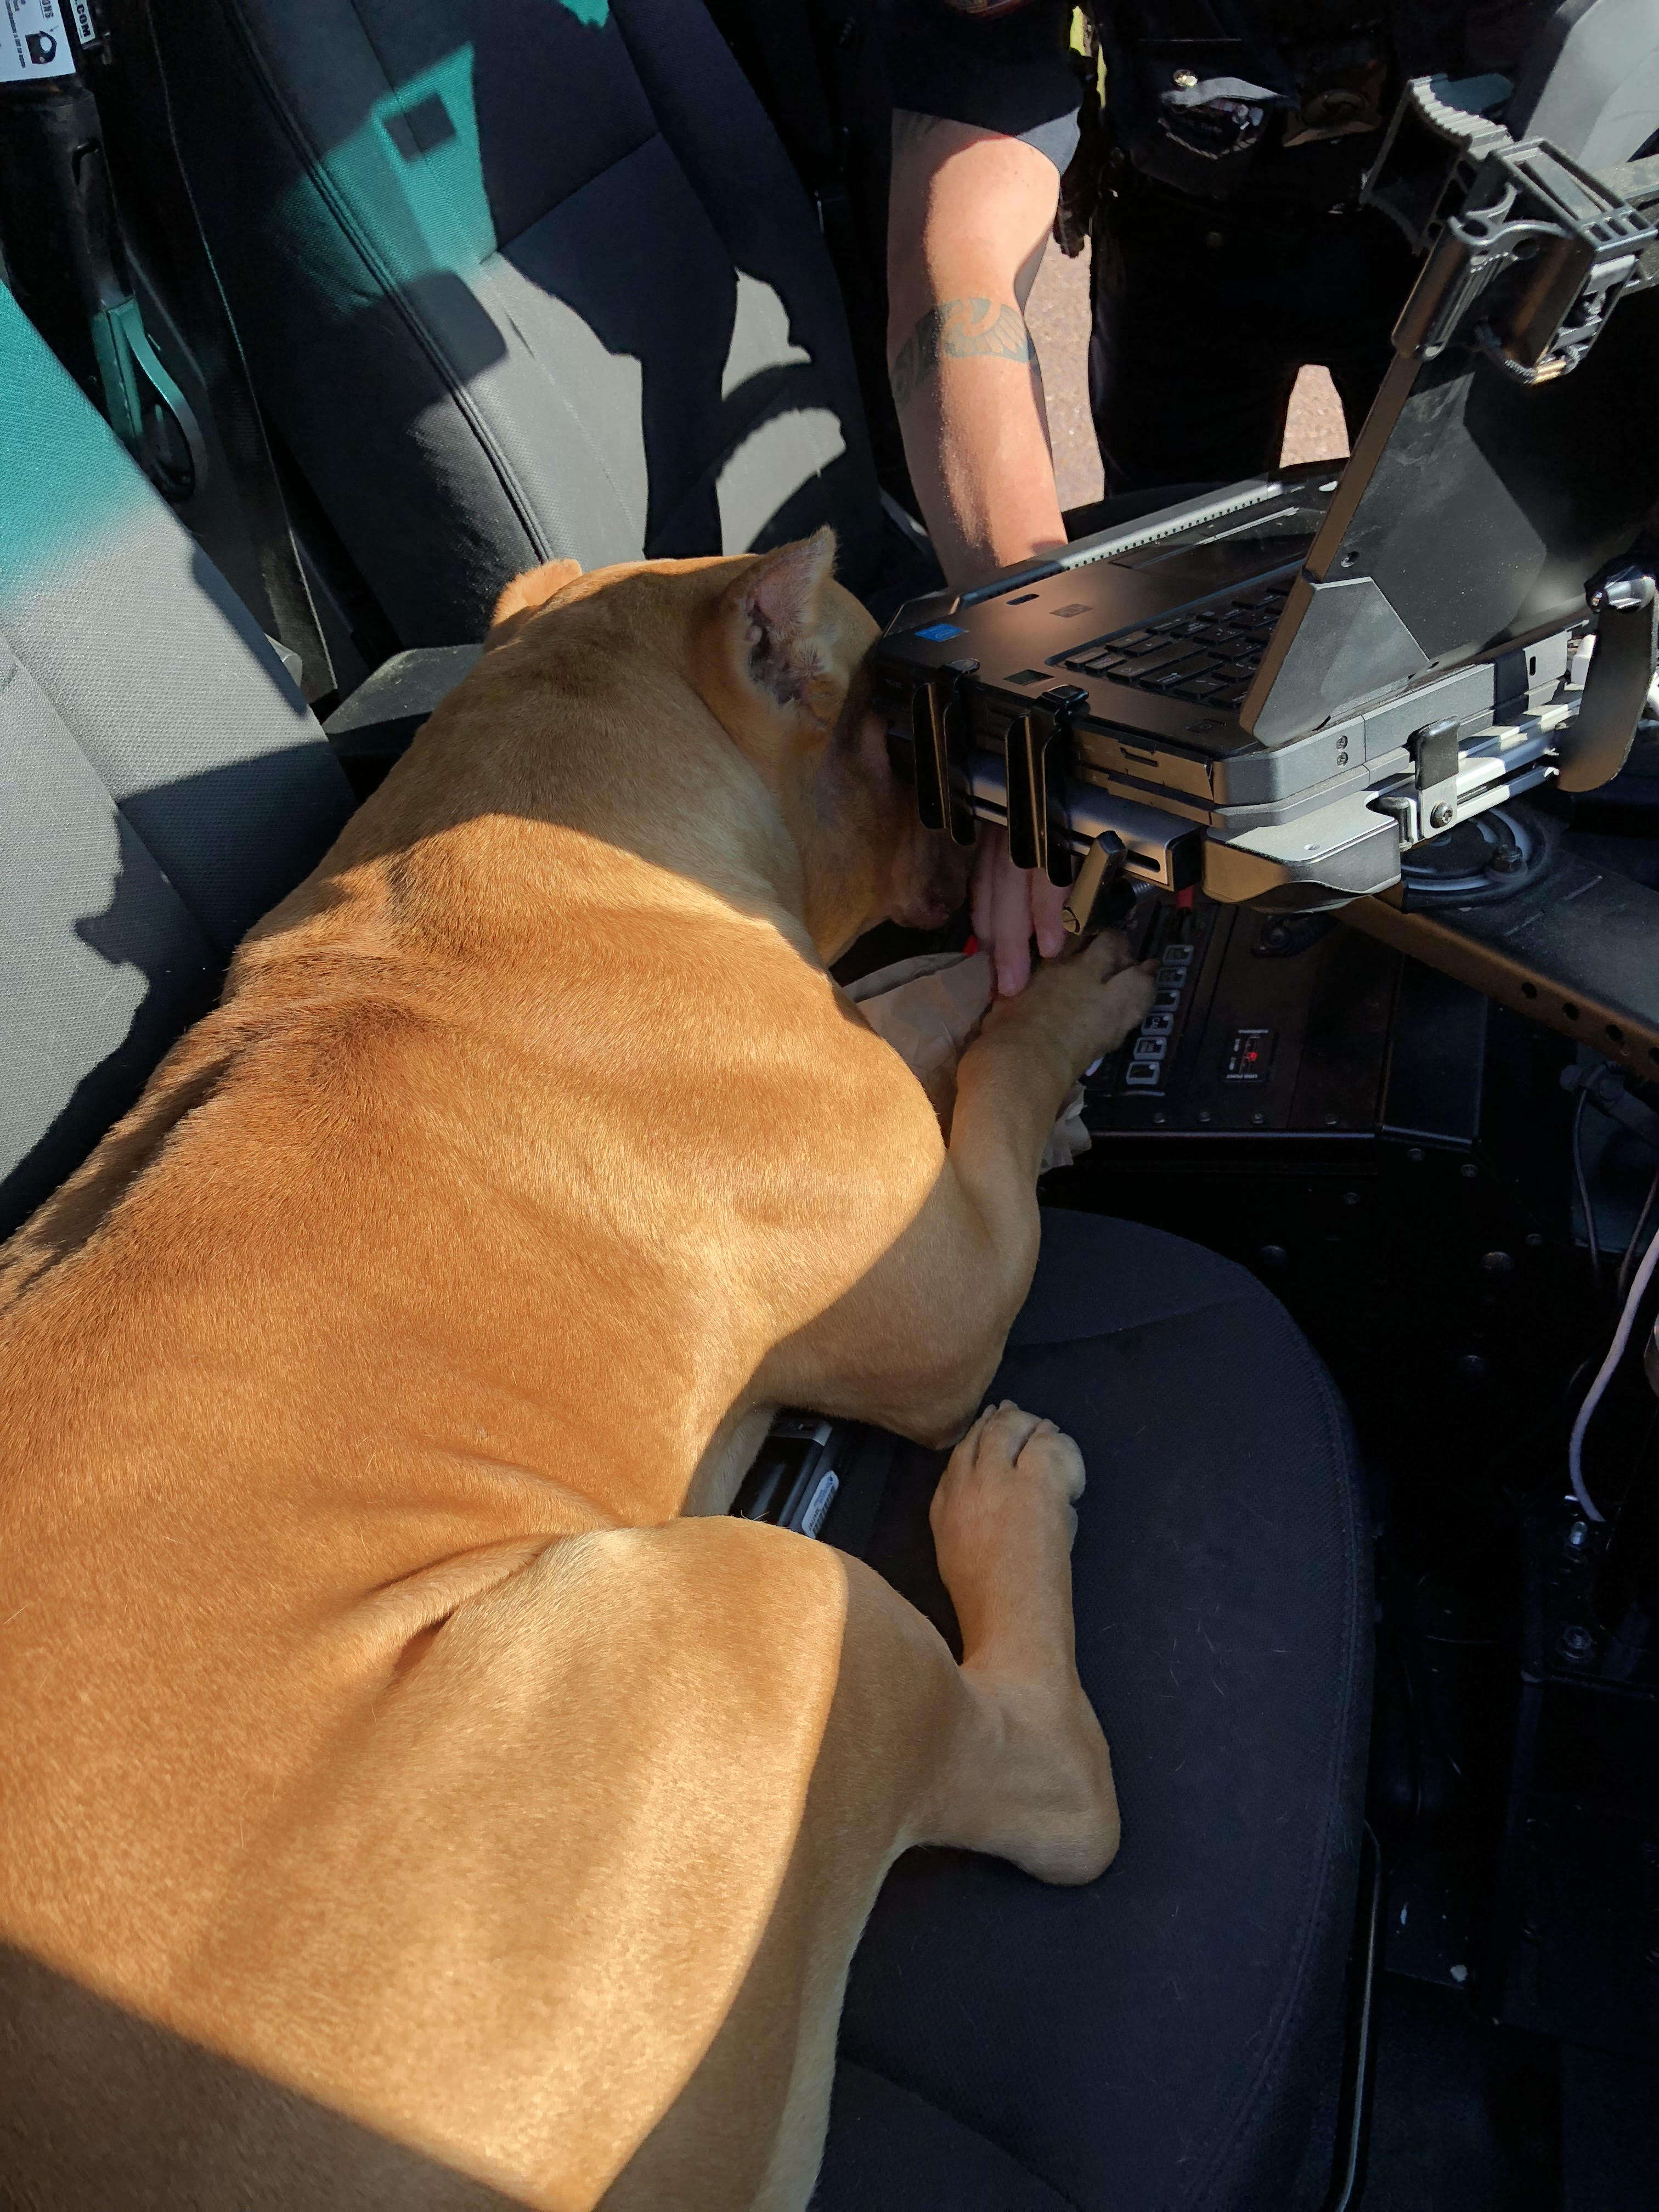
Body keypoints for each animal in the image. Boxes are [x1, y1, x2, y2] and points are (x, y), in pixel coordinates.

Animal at [3, 526, 1159, 2203]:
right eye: (898, 710)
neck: (516, 853)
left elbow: (914, 1003)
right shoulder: (945, 1289)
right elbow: (990, 1061)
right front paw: (1065, 1000)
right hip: (771, 1613)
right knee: (1056, 1790)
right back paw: (1001, 1507)